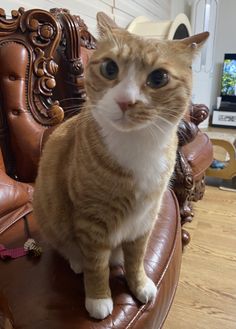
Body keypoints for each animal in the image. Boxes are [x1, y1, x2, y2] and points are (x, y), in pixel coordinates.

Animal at [33, 12, 208, 318]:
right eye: (110, 68)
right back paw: (77, 261)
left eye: (159, 77)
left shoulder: (145, 221)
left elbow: (137, 258)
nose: (126, 101)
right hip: (47, 212)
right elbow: (96, 264)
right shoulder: (91, 221)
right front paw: (98, 297)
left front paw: (139, 284)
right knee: (67, 248)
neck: (137, 146)